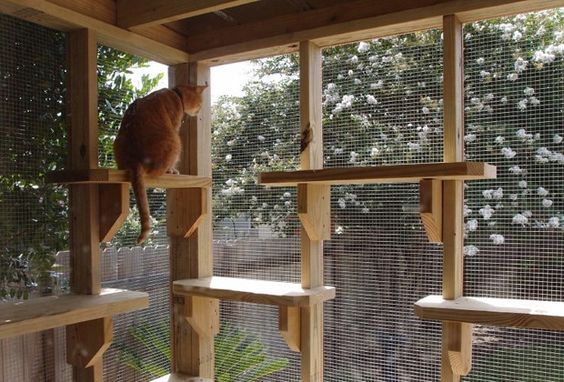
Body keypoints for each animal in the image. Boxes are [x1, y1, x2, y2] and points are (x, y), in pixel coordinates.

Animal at [112, 85, 207, 243]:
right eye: (200, 102)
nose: (200, 110)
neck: (176, 94)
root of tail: (134, 159)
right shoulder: (174, 125)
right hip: (175, 141)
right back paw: (171, 171)